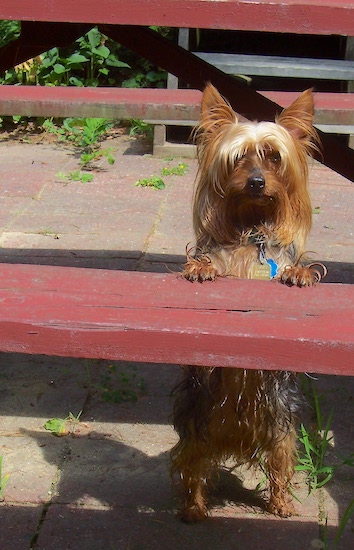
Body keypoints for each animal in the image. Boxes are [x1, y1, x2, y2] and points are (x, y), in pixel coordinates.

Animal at [170, 84, 324, 524]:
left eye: (274, 157)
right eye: (238, 157)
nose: (257, 182)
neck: (250, 228)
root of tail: (237, 435)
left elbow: (292, 269)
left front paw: (300, 274)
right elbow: (207, 263)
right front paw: (201, 268)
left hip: (283, 431)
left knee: (280, 466)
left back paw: (281, 504)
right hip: (196, 428)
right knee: (192, 467)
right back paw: (194, 509)